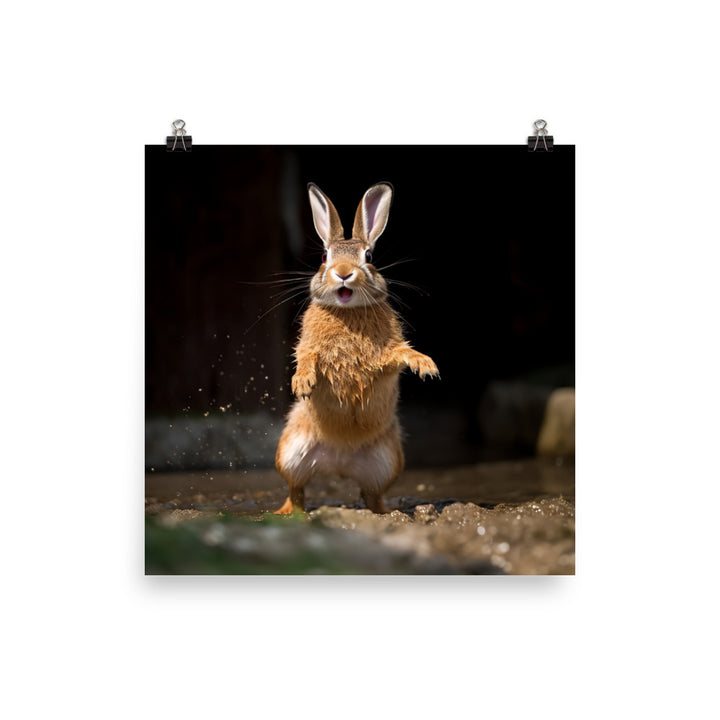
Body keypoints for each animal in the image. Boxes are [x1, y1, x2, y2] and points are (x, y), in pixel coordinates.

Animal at [274, 182, 439, 514]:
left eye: (369, 255)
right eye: (324, 256)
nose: (343, 272)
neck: (347, 311)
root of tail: (339, 461)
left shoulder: (385, 356)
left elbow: (398, 354)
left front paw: (425, 364)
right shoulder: (308, 346)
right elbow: (307, 356)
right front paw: (303, 382)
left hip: (387, 462)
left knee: (371, 495)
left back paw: (386, 513)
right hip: (290, 452)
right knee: (296, 491)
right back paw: (286, 512)